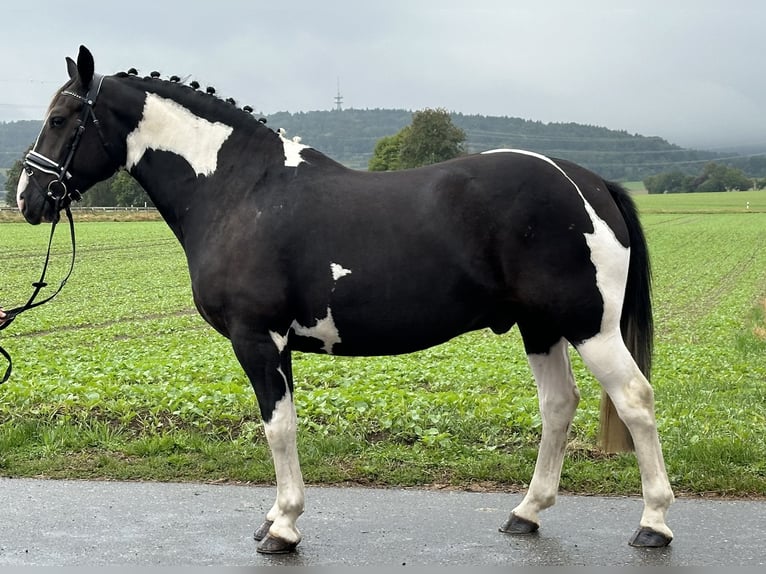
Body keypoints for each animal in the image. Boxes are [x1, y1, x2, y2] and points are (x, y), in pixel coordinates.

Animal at [13, 47, 672, 556]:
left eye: (61, 117)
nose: (27, 197)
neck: (240, 192)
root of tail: (587, 183)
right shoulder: (276, 344)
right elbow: (281, 427)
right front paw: (276, 521)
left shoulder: (259, 339)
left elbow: (278, 428)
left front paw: (282, 528)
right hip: (541, 327)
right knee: (559, 405)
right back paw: (526, 513)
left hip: (590, 328)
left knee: (635, 400)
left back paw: (654, 524)